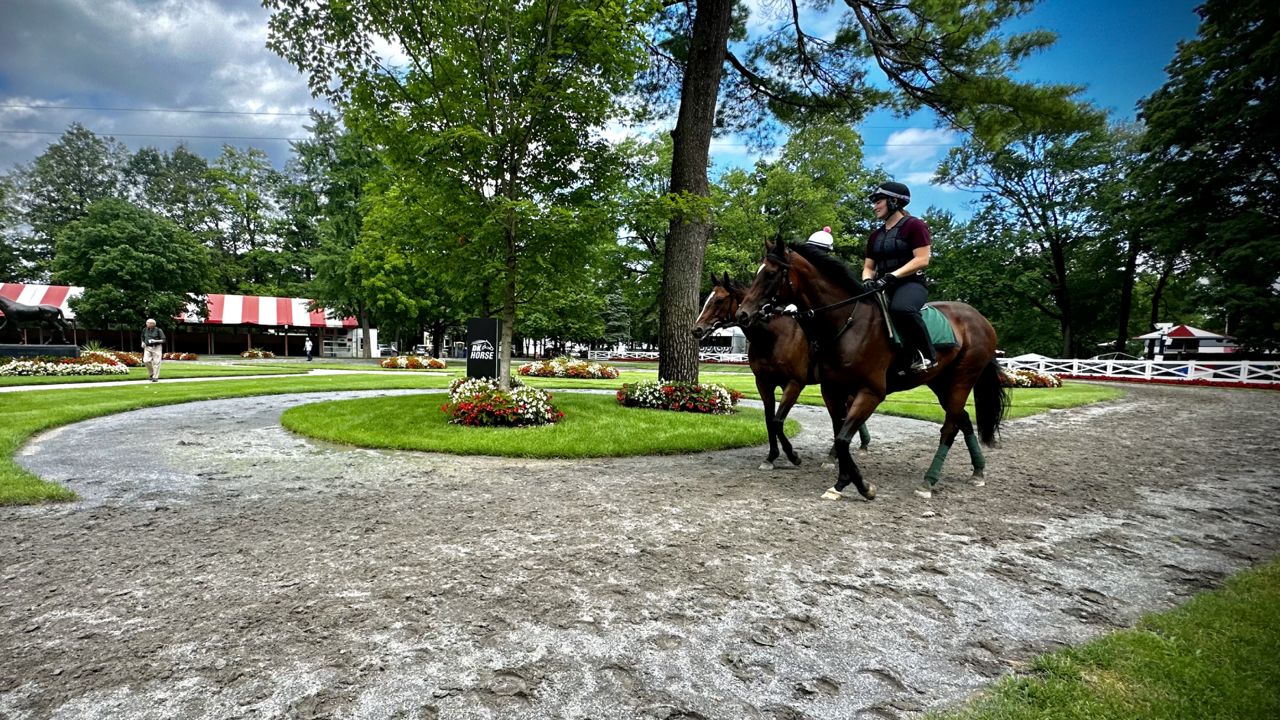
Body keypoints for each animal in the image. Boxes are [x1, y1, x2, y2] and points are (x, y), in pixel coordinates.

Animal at [691, 271, 870, 468]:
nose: (697, 329)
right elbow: (770, 419)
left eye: (719, 300)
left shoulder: (794, 384)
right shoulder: (764, 383)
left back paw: (837, 454)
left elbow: (778, 420)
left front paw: (792, 455)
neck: (774, 336)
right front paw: (771, 456)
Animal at [737, 240, 1003, 499]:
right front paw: (842, 482)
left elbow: (841, 437)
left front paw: (861, 486)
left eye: (771, 274)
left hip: (962, 380)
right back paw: (978, 470)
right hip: (940, 382)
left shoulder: (869, 392)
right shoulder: (832, 390)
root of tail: (980, 319)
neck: (848, 322)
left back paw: (928, 481)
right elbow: (839, 434)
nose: (743, 314)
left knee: (950, 427)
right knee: (963, 419)